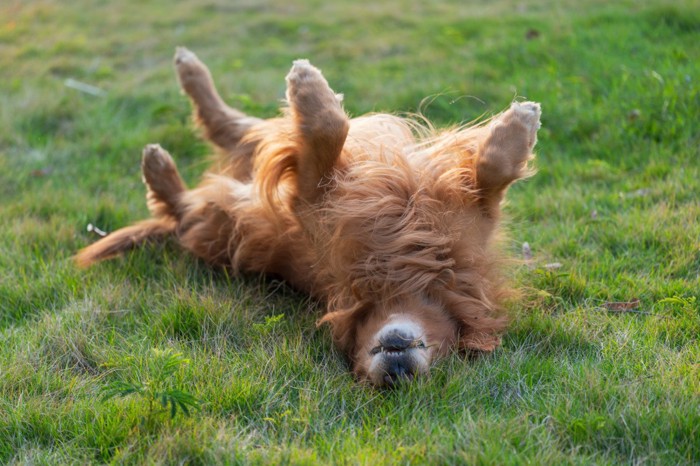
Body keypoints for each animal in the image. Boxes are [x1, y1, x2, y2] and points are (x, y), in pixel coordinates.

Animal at [79, 49, 540, 388]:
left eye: (443, 362)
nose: (397, 376)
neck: (406, 283)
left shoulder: (310, 196)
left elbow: (326, 131)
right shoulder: (464, 217)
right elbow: (493, 170)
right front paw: (521, 124)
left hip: (217, 224)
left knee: (182, 203)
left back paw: (160, 167)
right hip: (249, 162)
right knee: (229, 126)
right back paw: (189, 77)